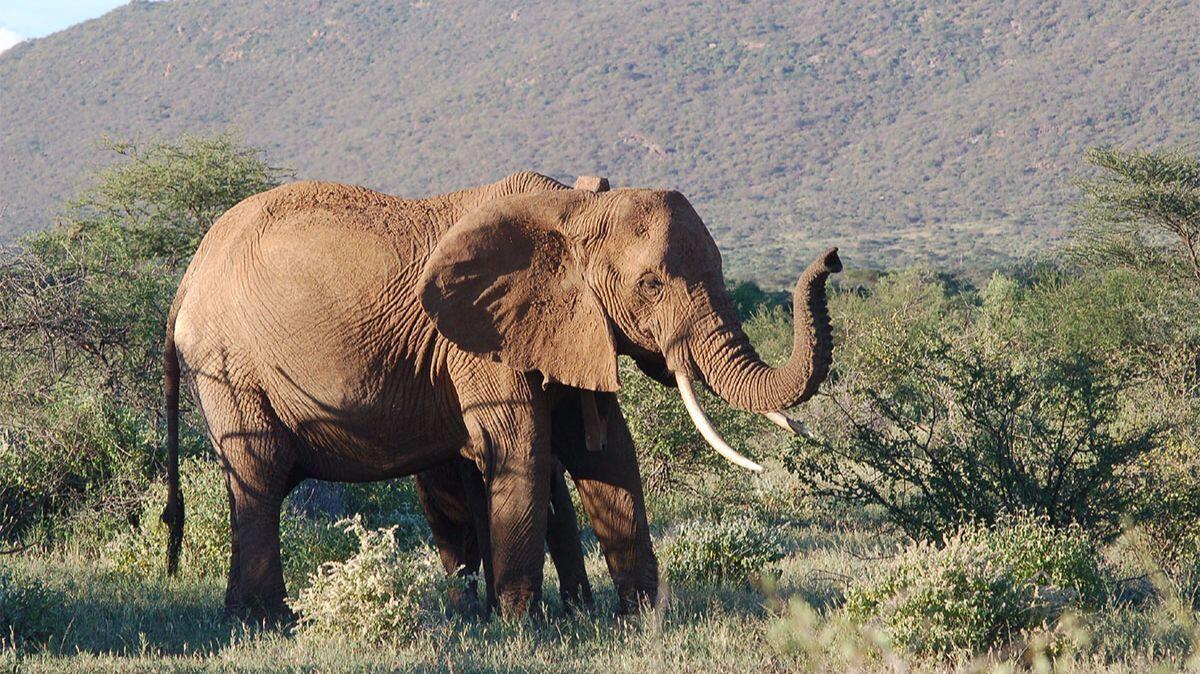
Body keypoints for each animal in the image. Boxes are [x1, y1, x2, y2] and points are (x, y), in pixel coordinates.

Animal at [162, 171, 844, 618]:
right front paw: (524, 627)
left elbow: (607, 456)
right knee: (259, 474)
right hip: (230, 365)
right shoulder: (479, 339)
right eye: (650, 284)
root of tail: (187, 280)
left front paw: (644, 620)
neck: (572, 210)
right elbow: (522, 448)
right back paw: (266, 621)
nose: (834, 258)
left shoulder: (567, 327)